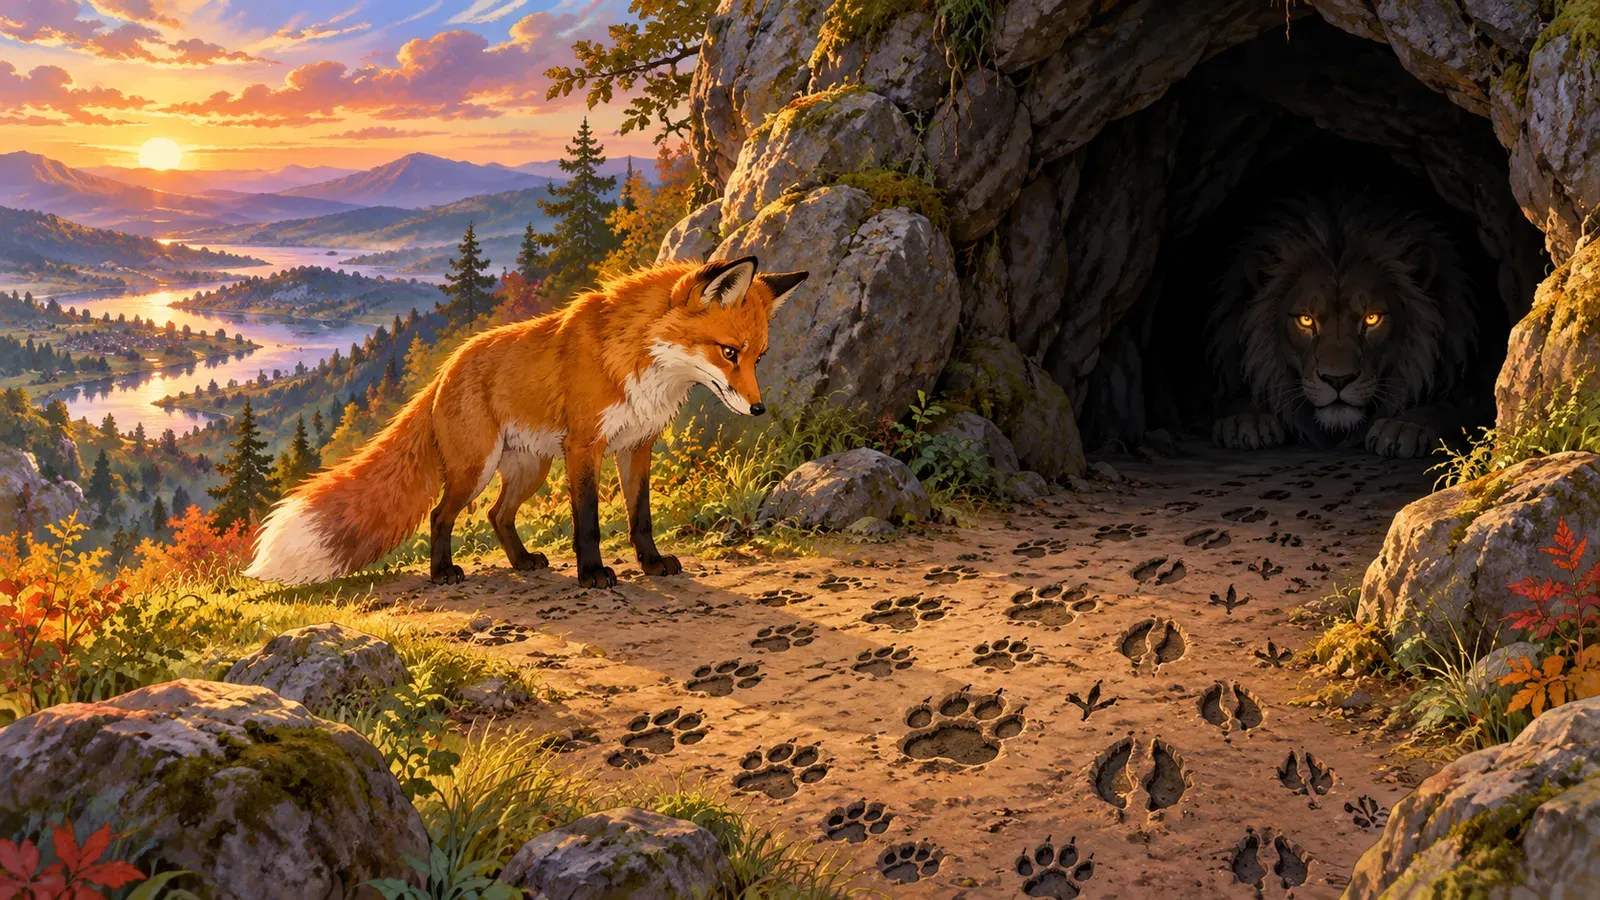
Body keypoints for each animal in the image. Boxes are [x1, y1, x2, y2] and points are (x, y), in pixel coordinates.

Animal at [1207, 194, 1476, 459]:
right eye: (1306, 320)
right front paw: (1245, 420)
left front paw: (1404, 427)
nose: (1338, 380)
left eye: (1372, 318)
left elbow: (1452, 409)